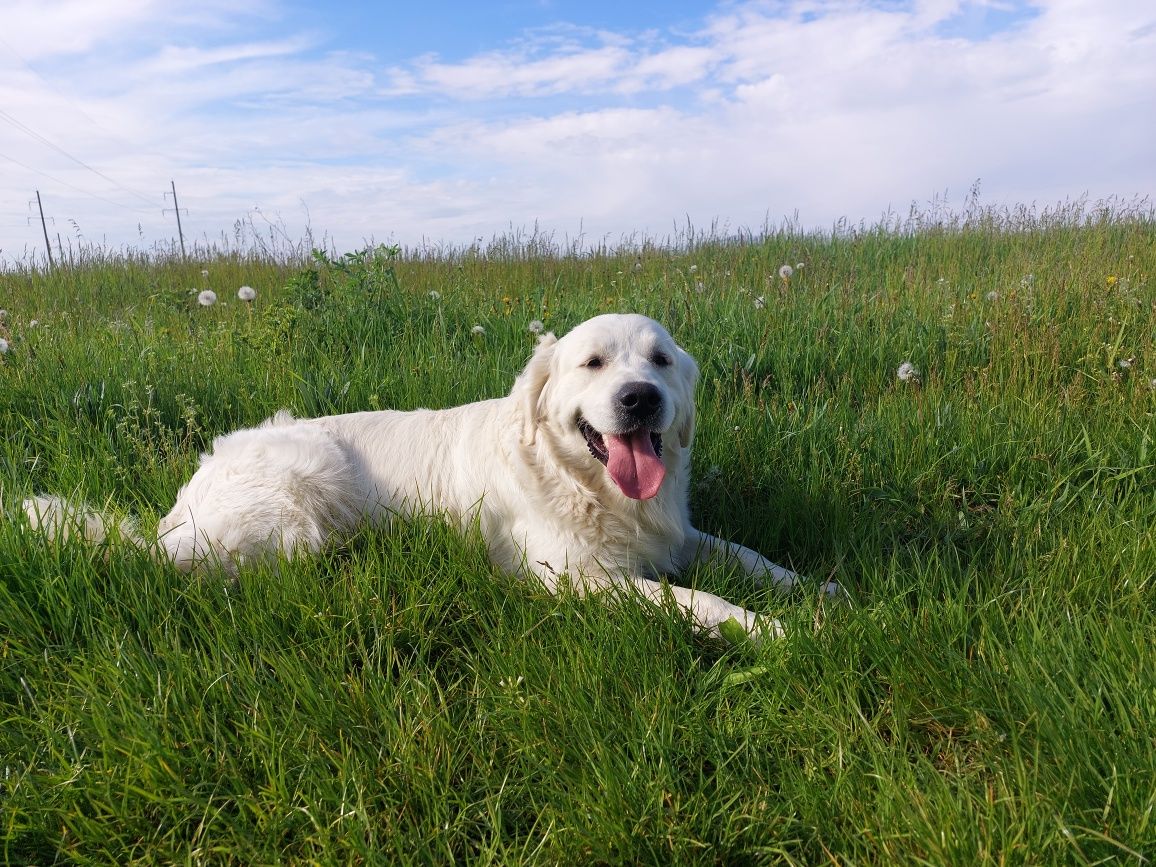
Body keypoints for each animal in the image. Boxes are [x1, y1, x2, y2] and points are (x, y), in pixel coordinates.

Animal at [29, 316, 823, 642]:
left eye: (659, 361)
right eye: (593, 363)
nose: (639, 399)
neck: (579, 479)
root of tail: (180, 506)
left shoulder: (675, 533)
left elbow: (746, 555)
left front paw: (818, 593)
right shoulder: (573, 576)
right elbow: (694, 599)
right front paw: (770, 629)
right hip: (301, 494)